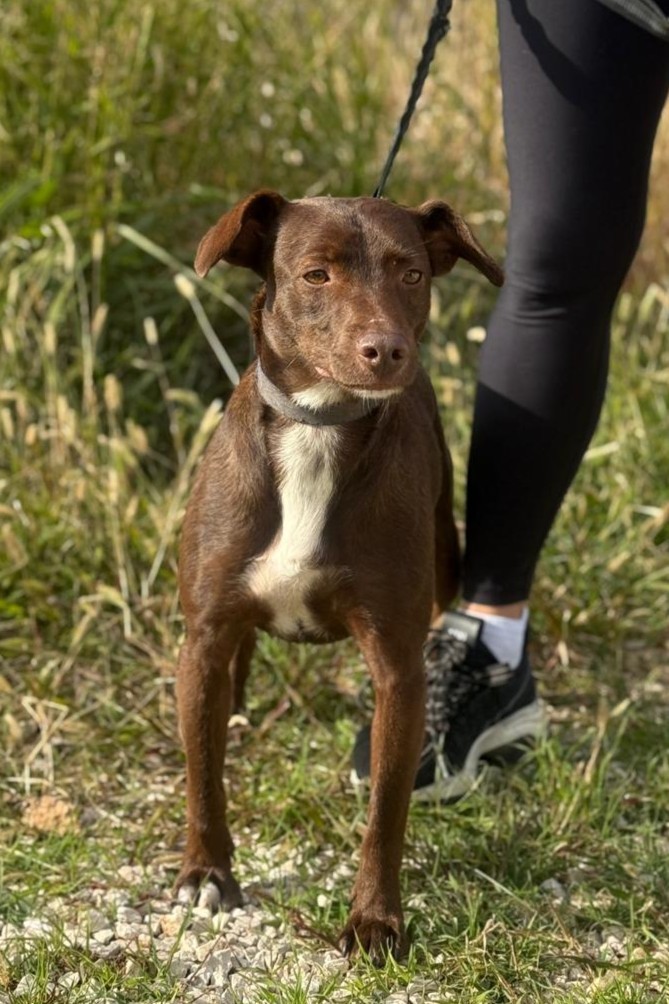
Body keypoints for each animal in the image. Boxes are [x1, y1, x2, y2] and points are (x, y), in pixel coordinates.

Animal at [174, 190, 503, 960]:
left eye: (411, 273)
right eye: (316, 275)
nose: (386, 350)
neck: (318, 427)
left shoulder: (398, 669)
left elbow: (386, 812)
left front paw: (375, 920)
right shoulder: (200, 638)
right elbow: (203, 775)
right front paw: (207, 873)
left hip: (445, 547)